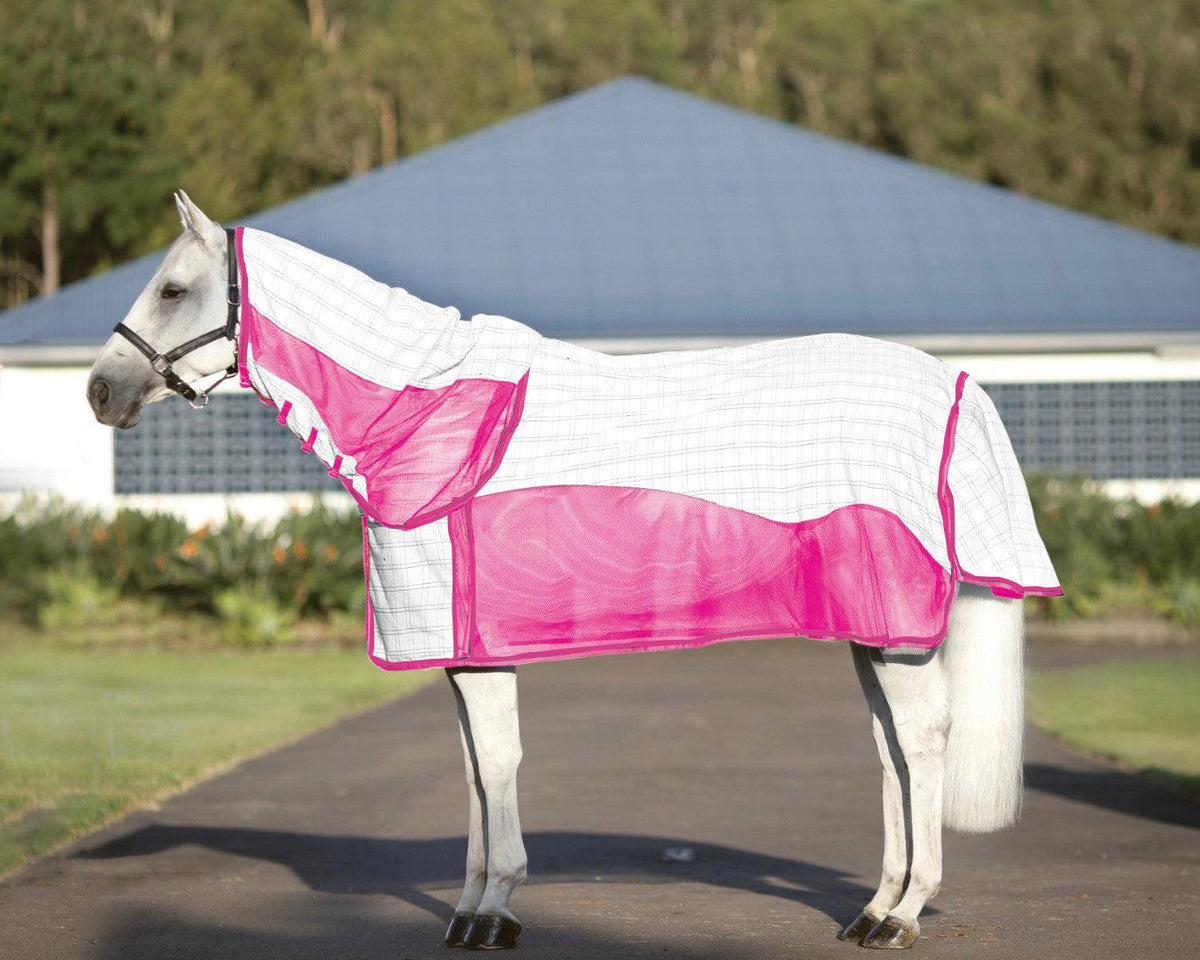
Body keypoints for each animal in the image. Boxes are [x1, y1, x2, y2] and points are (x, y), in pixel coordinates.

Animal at [87, 192, 1057, 951]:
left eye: (172, 288)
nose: (99, 390)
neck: (431, 419)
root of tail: (954, 384)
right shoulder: (462, 650)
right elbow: (477, 771)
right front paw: (473, 909)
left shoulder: (477, 647)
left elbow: (498, 764)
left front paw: (491, 914)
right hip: (872, 632)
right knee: (891, 748)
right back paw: (872, 907)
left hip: (897, 635)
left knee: (922, 740)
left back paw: (902, 915)